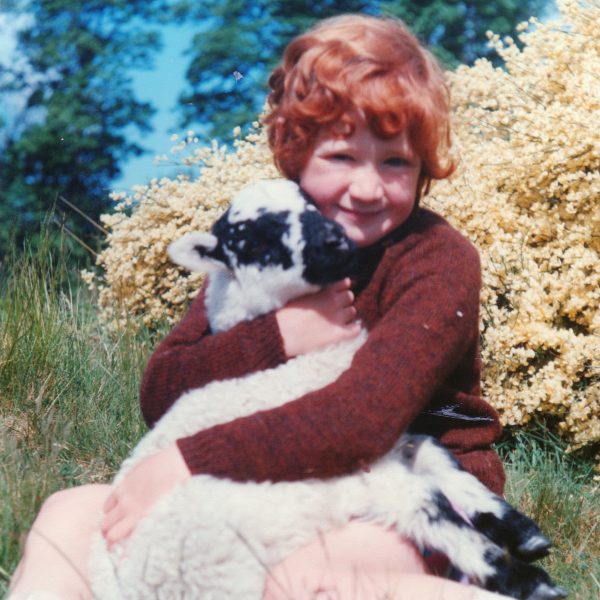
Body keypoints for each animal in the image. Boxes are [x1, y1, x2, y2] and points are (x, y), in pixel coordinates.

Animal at [88, 178, 564, 600]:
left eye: (311, 204)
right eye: (257, 242)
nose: (336, 241)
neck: (297, 368)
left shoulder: (391, 446)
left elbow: (438, 455)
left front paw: (524, 533)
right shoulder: (364, 469)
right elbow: (433, 507)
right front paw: (529, 582)